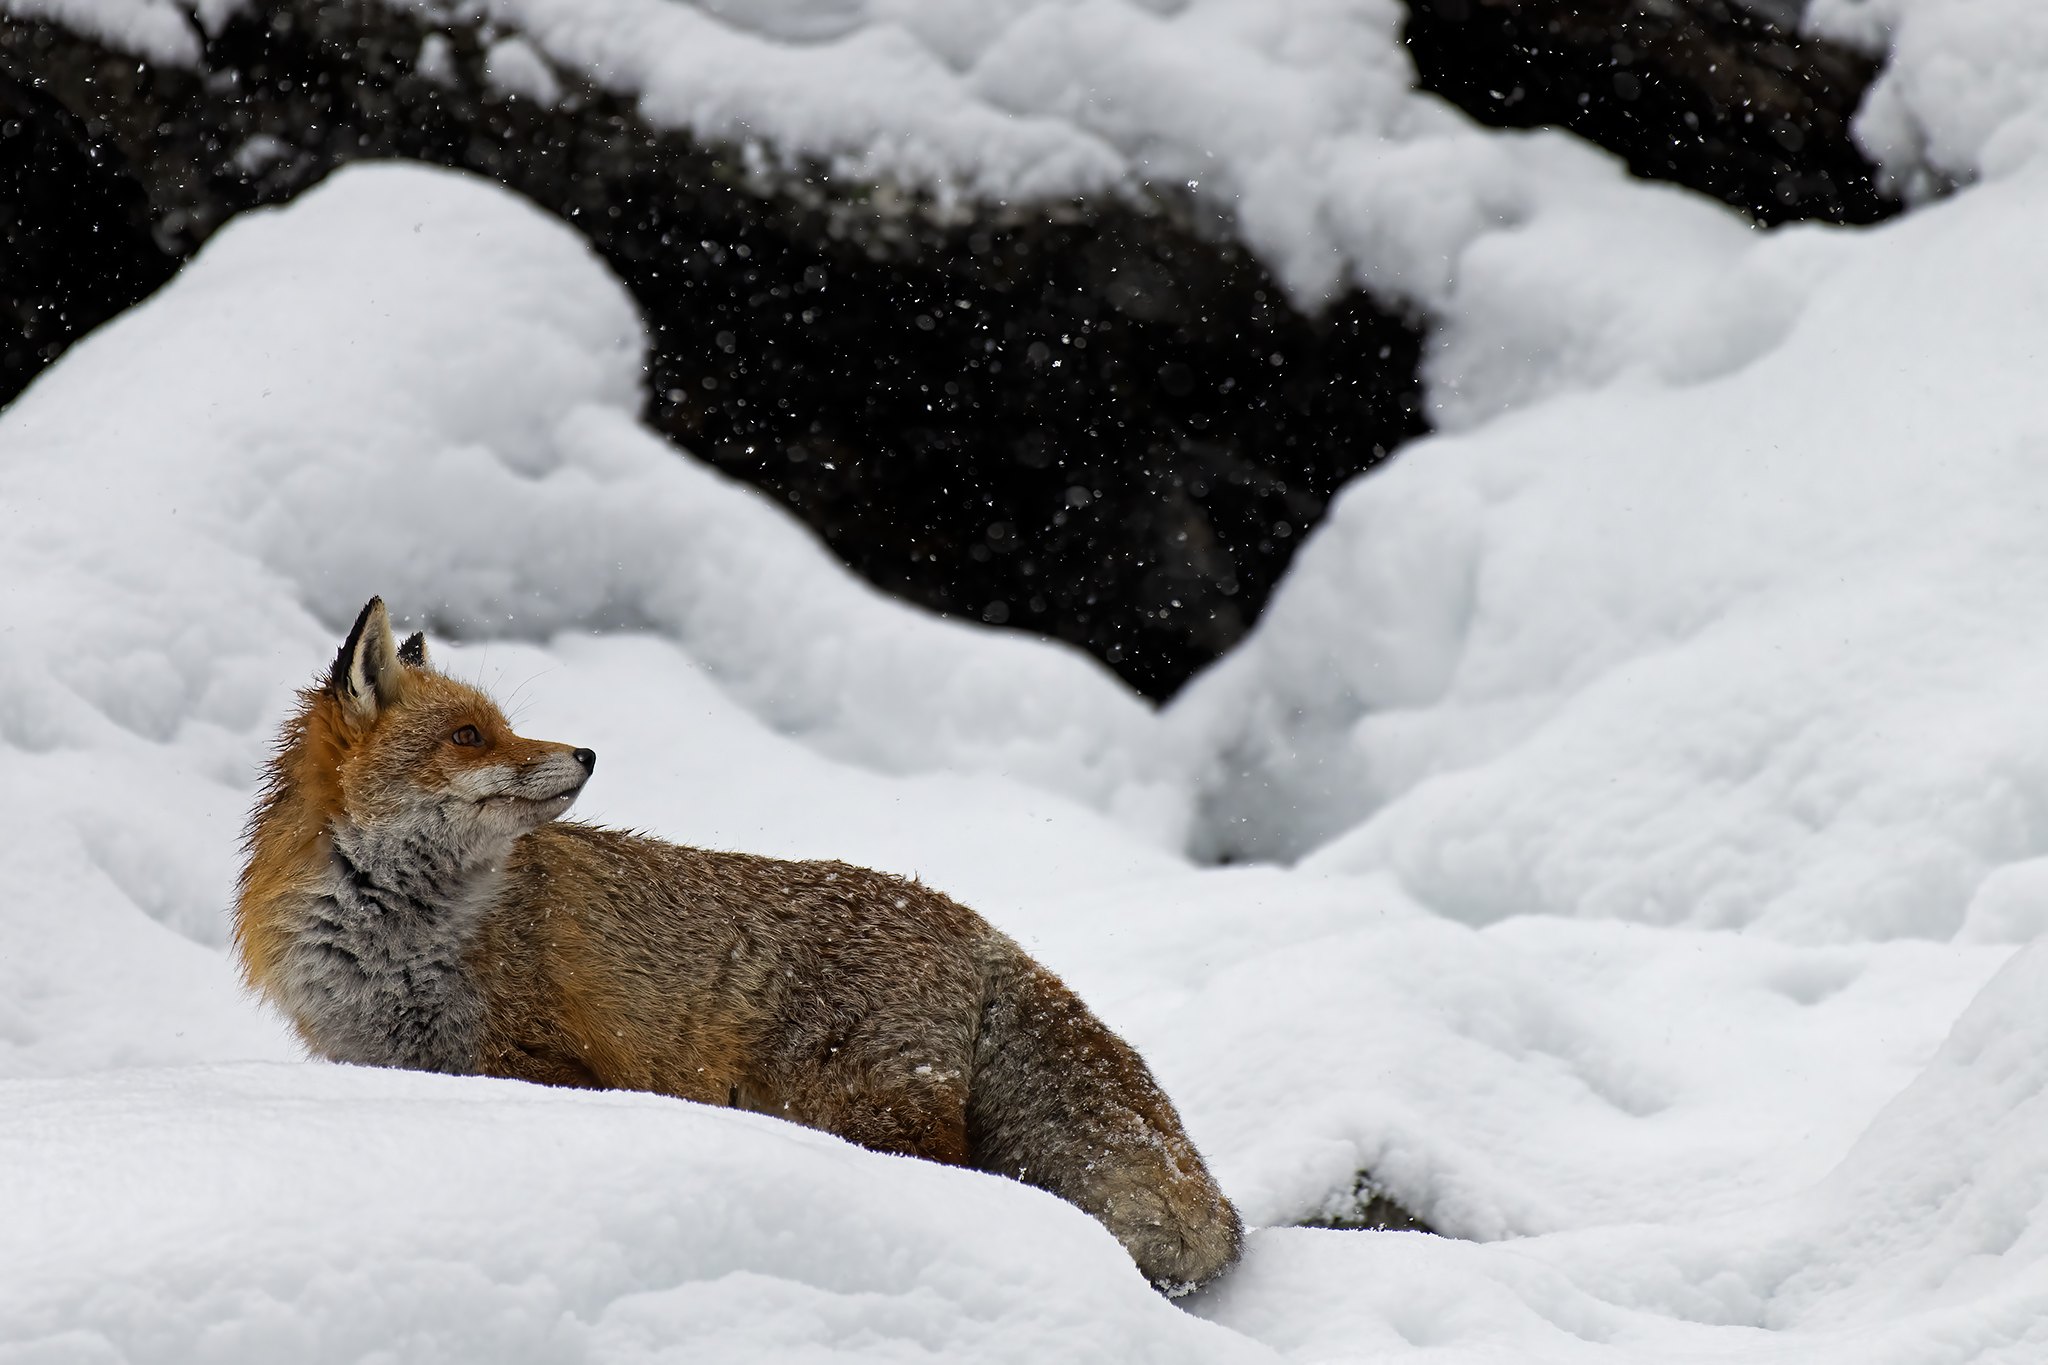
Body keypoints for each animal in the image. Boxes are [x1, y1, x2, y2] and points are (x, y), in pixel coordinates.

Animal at [233, 597, 1241, 1292]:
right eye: (469, 734)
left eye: (501, 727)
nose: (588, 753)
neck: (401, 938)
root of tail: (965, 915)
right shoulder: (383, 1059)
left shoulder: (552, 1059)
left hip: (858, 1110)